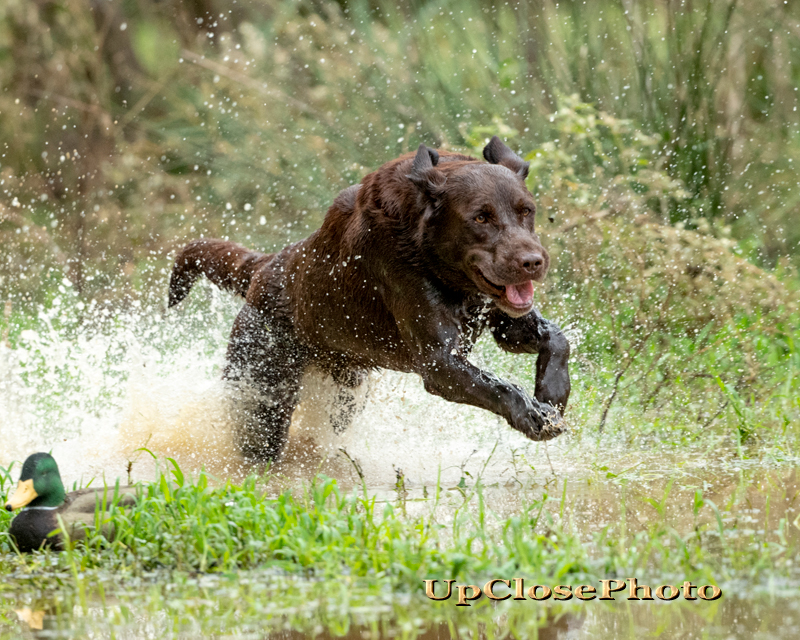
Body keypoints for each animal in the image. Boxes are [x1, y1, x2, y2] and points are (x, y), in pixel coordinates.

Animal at [167, 138, 568, 462]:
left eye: (526, 211)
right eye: (481, 217)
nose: (533, 262)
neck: (427, 251)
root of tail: (263, 269)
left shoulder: (502, 322)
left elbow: (557, 338)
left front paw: (553, 394)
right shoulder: (439, 363)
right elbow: (501, 387)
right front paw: (533, 415)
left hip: (344, 394)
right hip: (263, 391)